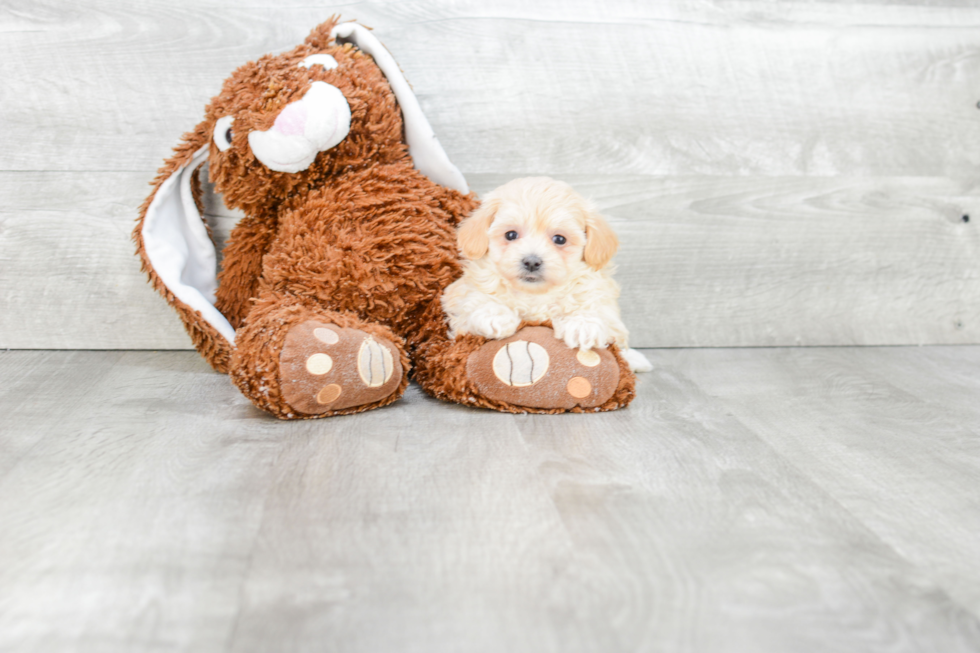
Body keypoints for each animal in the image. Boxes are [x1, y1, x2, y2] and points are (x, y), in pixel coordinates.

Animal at [442, 178, 652, 372]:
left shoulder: (600, 298)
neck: (535, 294)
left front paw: (583, 325)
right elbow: (476, 300)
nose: (531, 262)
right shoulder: (460, 306)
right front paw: (494, 316)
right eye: (511, 235)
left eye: (559, 239)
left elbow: (598, 311)